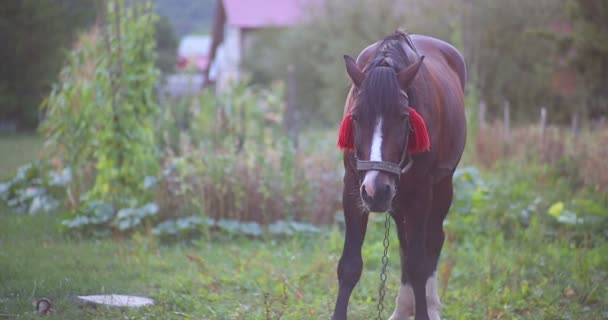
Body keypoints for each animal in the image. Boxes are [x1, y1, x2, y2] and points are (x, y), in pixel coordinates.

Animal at [332, 31, 466, 320]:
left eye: (405, 118)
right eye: (356, 117)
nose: (375, 190)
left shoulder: (421, 192)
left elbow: (418, 263)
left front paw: (425, 311)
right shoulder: (353, 188)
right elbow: (349, 265)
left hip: (438, 187)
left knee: (433, 242)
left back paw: (431, 306)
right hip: (396, 198)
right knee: (405, 244)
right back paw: (404, 308)